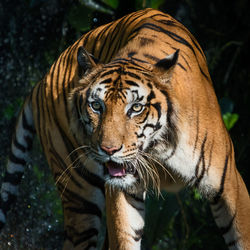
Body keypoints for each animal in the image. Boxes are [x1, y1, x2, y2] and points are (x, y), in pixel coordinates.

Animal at [0, 7, 250, 250]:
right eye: (96, 106)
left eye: (136, 108)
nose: (108, 150)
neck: (158, 149)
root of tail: (43, 78)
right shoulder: (123, 192)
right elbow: (125, 236)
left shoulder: (230, 186)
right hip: (78, 192)